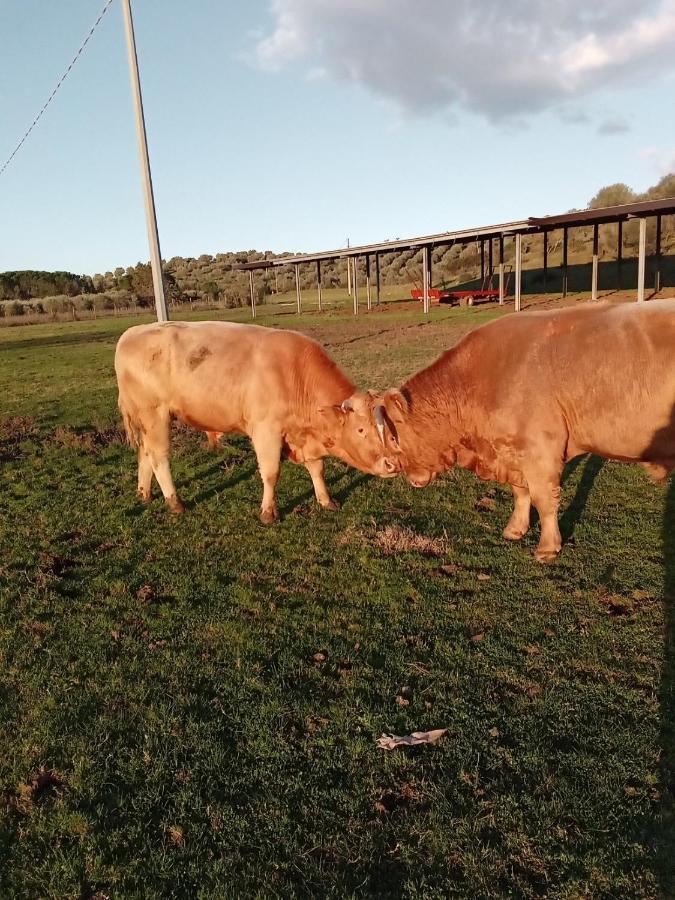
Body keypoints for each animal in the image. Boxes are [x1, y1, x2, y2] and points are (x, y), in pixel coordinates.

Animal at [115, 322, 402, 520]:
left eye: (386, 429)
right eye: (361, 429)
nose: (392, 464)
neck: (296, 375)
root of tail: (131, 333)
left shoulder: (304, 436)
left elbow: (317, 468)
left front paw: (326, 500)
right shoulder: (266, 431)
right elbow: (271, 473)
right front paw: (268, 512)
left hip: (145, 419)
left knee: (145, 453)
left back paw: (144, 494)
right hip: (155, 414)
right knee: (158, 457)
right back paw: (175, 502)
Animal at [378, 302, 675, 564]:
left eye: (394, 437)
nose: (405, 475)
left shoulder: (539, 449)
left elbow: (543, 499)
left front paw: (547, 548)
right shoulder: (512, 449)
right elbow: (520, 492)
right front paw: (515, 529)